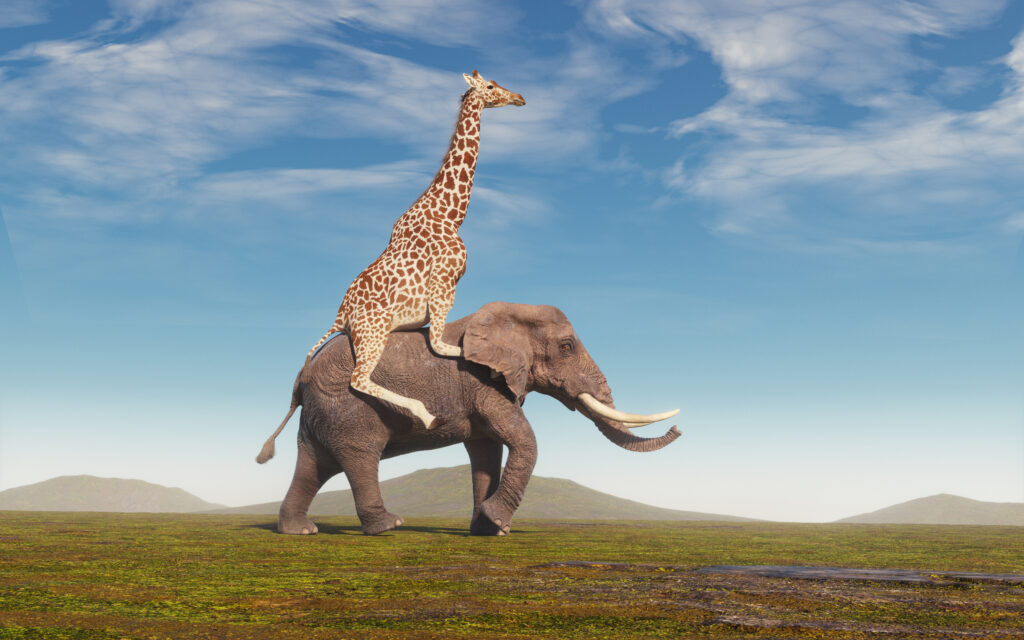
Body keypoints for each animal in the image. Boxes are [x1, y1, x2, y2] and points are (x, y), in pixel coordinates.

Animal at [256, 301, 682, 536]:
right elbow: (523, 441)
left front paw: (486, 530)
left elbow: (486, 453)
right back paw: (389, 527)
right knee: (360, 456)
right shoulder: (481, 381)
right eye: (566, 347)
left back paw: (299, 531)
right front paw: (499, 524)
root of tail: (301, 375)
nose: (679, 426)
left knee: (314, 465)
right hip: (348, 407)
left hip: (323, 412)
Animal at [305, 70, 525, 429]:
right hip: (373, 334)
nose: (520, 97)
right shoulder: (444, 287)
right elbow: (443, 347)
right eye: (491, 86)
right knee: (359, 378)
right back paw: (425, 414)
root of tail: (340, 317)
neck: (451, 214)